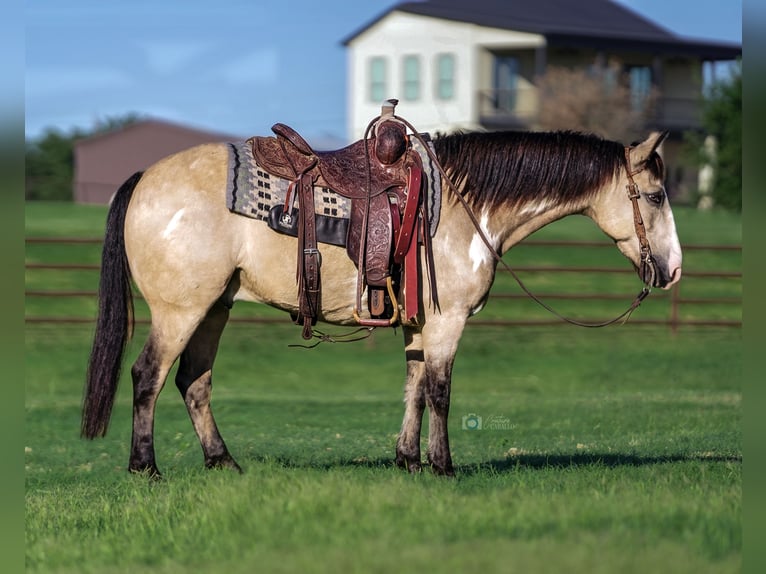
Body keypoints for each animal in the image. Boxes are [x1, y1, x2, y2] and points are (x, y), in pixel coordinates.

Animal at [82, 110, 684, 480]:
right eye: (655, 196)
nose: (674, 269)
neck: (464, 204)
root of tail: (145, 177)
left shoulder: (420, 324)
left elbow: (413, 387)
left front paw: (408, 461)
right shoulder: (448, 320)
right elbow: (440, 389)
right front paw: (443, 466)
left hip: (215, 308)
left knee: (193, 381)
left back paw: (222, 462)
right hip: (180, 311)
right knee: (148, 376)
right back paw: (146, 468)